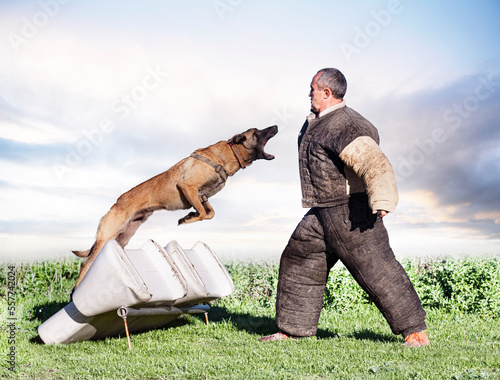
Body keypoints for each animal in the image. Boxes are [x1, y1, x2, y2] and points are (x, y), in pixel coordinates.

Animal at [72, 125, 280, 288]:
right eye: (257, 131)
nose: (276, 126)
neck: (228, 153)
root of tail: (115, 203)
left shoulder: (201, 196)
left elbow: (209, 213)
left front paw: (189, 216)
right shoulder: (187, 187)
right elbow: (203, 213)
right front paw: (186, 219)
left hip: (122, 238)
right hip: (107, 236)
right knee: (85, 264)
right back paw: (76, 290)